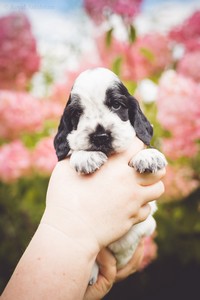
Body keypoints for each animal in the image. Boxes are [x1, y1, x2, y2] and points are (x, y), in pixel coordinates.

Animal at [53, 67, 167, 284]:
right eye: (78, 112)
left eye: (116, 105)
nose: (100, 136)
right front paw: (85, 156)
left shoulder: (147, 221)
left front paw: (148, 155)